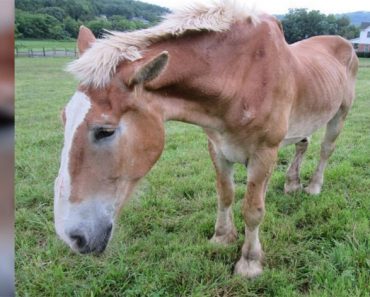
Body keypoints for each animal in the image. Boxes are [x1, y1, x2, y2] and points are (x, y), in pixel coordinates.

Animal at [53, 1, 356, 276]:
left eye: (105, 131)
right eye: (64, 118)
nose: (72, 237)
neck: (242, 78)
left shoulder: (264, 153)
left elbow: (253, 209)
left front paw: (250, 261)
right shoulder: (218, 148)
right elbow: (225, 194)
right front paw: (222, 237)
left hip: (339, 115)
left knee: (326, 150)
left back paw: (313, 187)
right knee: (302, 144)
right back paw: (292, 183)